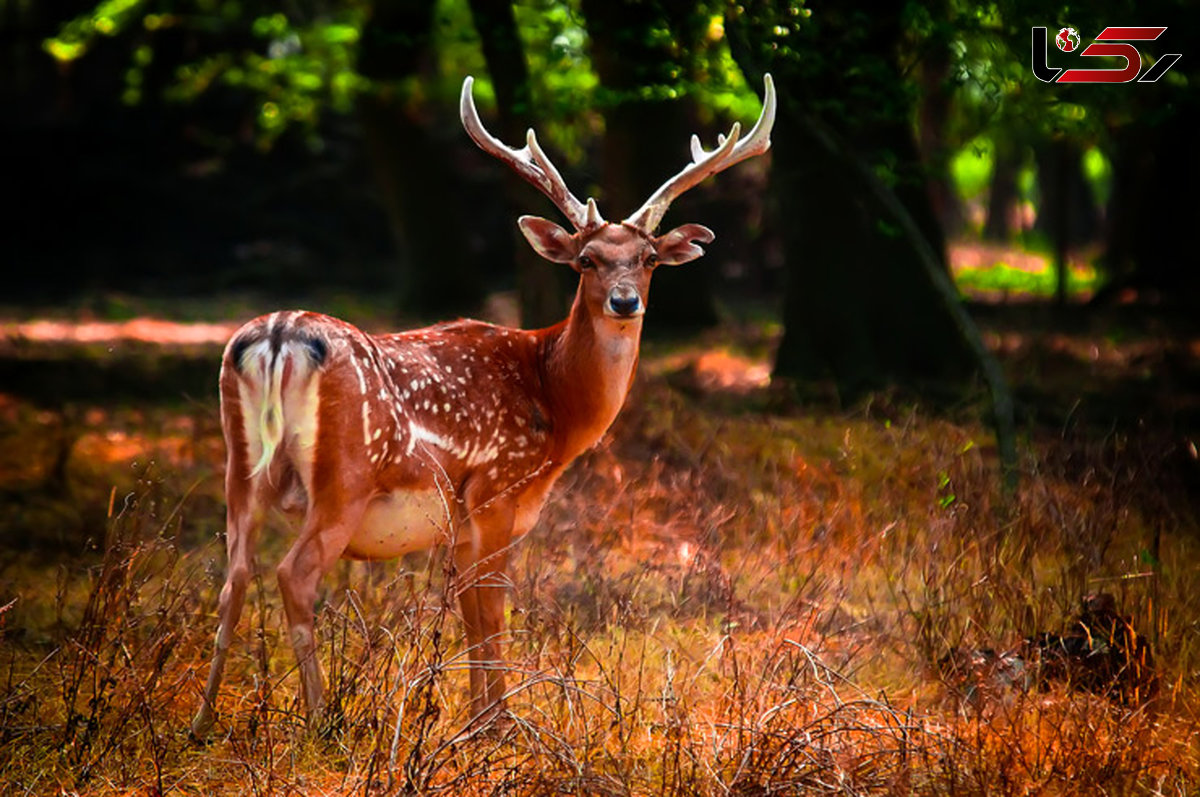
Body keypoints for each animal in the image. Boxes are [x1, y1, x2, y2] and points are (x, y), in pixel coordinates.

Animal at [190, 71, 772, 739]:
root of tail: (279, 335)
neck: (555, 403)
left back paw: (202, 721)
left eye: (648, 259)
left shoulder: (461, 519)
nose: (625, 302)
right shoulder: (498, 487)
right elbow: (493, 608)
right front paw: (500, 726)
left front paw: (474, 721)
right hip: (345, 475)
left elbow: (470, 611)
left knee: (233, 577)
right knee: (294, 574)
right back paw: (321, 720)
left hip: (239, 466)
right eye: (586, 260)